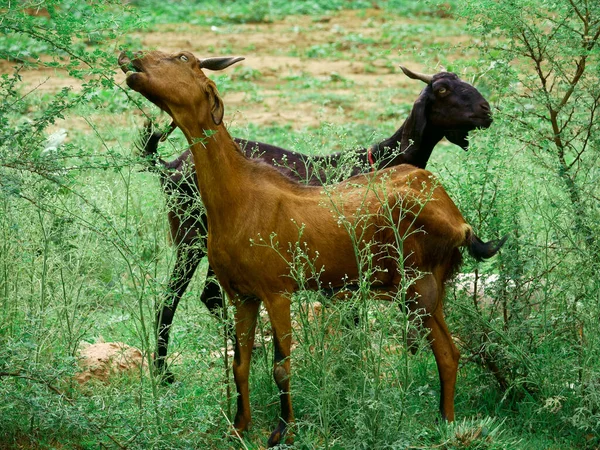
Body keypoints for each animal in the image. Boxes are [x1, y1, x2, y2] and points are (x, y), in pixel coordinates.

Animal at [120, 50, 506, 446]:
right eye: (442, 89)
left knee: (447, 352)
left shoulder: (278, 292)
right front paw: (240, 426)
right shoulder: (244, 295)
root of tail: (458, 218)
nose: (131, 57)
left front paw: (283, 430)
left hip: (419, 285)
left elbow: (282, 366)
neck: (241, 192)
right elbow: (240, 364)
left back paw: (445, 424)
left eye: (183, 57)